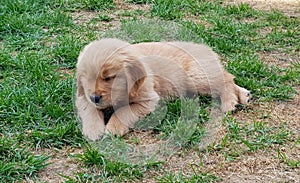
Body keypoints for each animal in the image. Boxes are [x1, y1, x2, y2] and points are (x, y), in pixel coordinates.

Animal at [75, 38, 251, 141]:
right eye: (87, 78)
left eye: (109, 78)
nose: (95, 98)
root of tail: (205, 48)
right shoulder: (83, 97)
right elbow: (89, 110)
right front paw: (93, 130)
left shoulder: (148, 100)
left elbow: (123, 111)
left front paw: (113, 128)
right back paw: (244, 95)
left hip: (196, 77)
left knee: (226, 79)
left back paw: (230, 102)